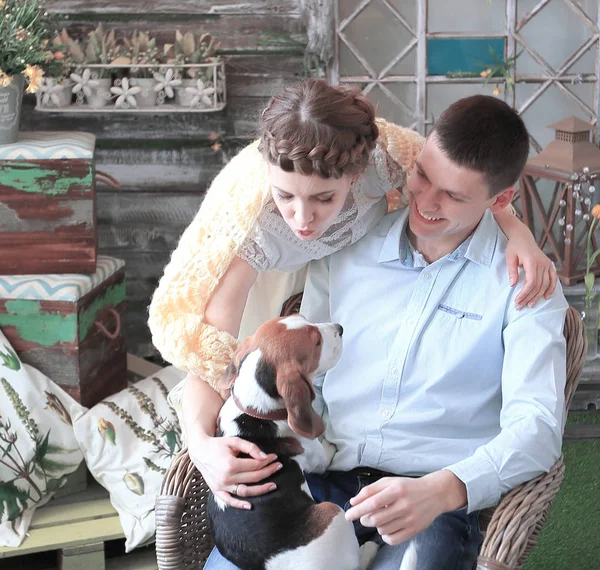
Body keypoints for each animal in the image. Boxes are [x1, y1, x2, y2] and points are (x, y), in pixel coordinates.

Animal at [209, 316, 414, 568]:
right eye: (316, 343)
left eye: (306, 319)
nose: (340, 328)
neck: (255, 411)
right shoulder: (316, 458)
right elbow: (324, 454)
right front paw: (329, 443)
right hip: (332, 511)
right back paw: (369, 548)